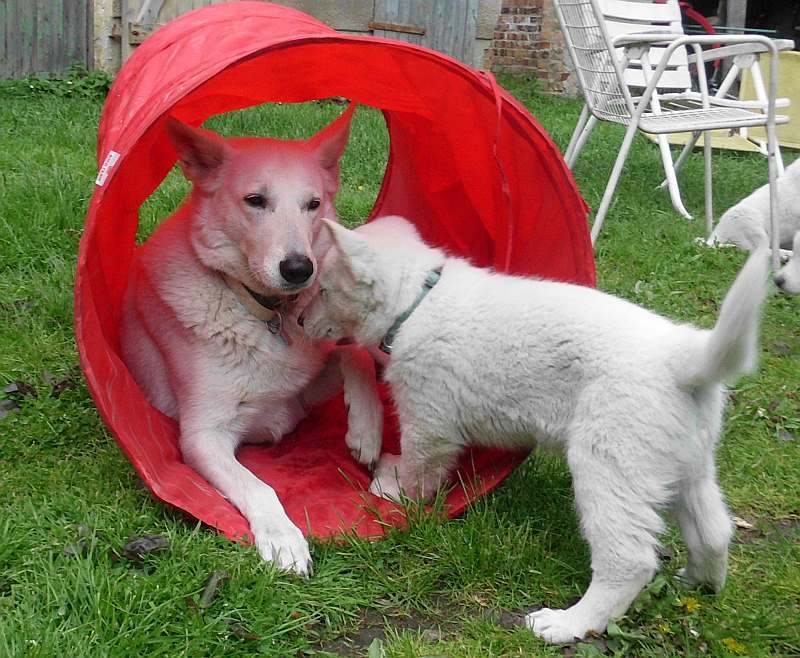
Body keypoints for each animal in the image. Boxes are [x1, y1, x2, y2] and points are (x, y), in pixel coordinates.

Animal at [120, 107, 382, 576]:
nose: (299, 269)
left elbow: (355, 355)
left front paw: (366, 431)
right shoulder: (203, 435)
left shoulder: (300, 391)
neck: (266, 314)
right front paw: (283, 538)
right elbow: (259, 486)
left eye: (313, 204)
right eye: (255, 200)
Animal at [298, 214, 768, 640]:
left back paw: (567, 624)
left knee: (628, 559)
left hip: (610, 464)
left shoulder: (429, 417)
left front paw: (395, 489)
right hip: (687, 465)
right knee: (714, 531)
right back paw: (700, 581)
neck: (417, 300)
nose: (299, 322)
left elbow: (420, 464)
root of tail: (683, 359)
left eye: (323, 289)